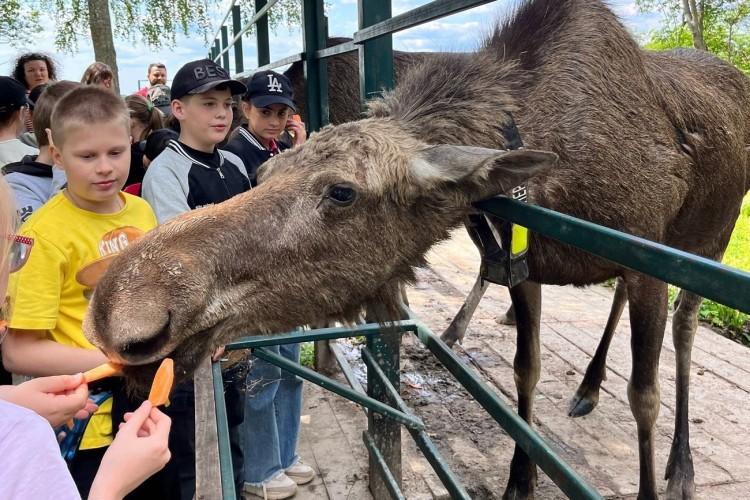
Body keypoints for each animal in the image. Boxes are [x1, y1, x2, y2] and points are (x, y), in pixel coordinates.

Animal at [83, 1, 750, 498]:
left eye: (343, 192)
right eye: (268, 171)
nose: (123, 305)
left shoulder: (649, 257)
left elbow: (644, 396)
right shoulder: (529, 267)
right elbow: (526, 371)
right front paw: (521, 478)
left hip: (707, 243)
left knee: (685, 327)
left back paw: (680, 465)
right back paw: (588, 385)